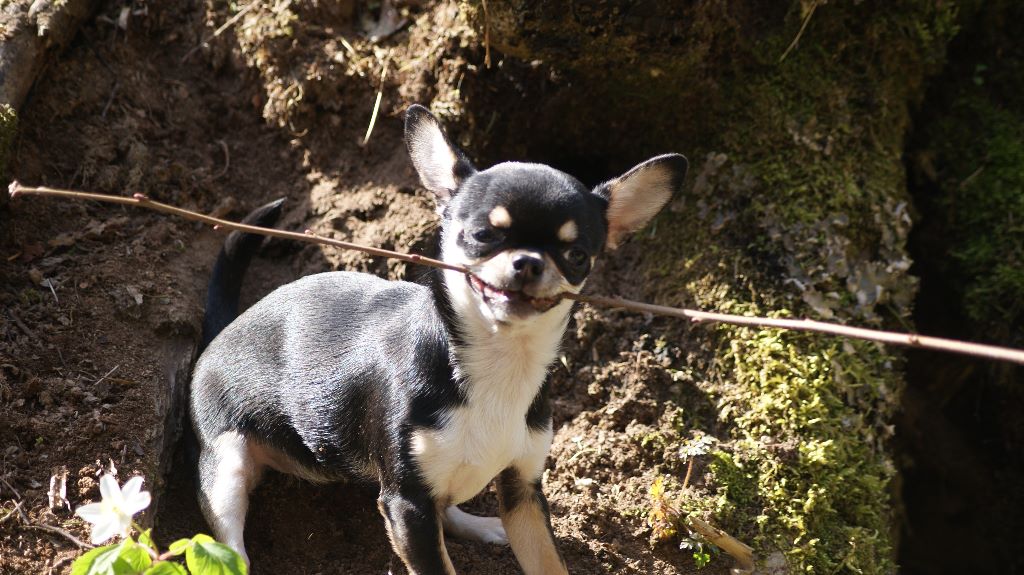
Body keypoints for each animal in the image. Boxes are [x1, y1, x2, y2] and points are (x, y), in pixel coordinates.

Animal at [192, 103, 688, 572]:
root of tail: (225, 329)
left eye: (577, 255)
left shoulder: (523, 491)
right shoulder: (405, 501)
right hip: (226, 467)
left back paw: (481, 525)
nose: (528, 262)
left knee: (447, 509)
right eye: (483, 235)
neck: (500, 360)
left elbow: (548, 563)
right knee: (230, 542)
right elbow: (436, 561)